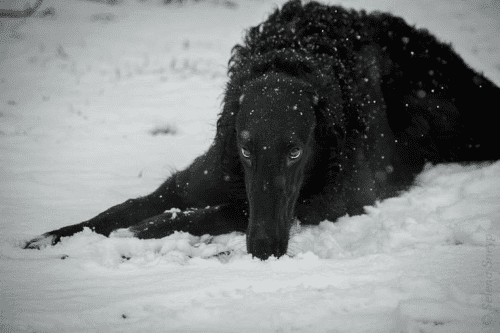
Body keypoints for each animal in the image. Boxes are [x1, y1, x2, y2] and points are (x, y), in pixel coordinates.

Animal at [25, 0, 500, 260]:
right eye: (246, 149)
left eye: (295, 152)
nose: (264, 249)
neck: (294, 57)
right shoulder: (200, 177)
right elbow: (123, 208)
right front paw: (54, 236)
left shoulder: (334, 199)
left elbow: (209, 213)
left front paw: (140, 234)